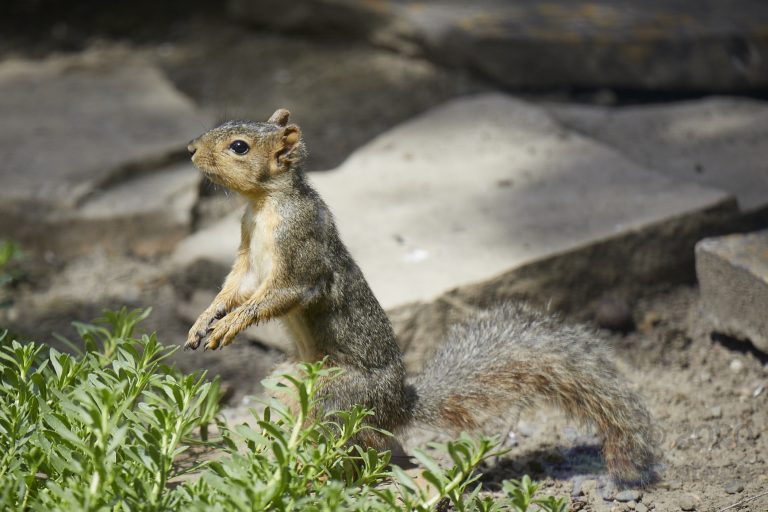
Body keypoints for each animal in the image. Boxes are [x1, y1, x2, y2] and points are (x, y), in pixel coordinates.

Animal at [184, 109, 659, 485]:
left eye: (239, 147)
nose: (190, 148)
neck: (263, 204)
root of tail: (399, 405)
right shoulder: (247, 261)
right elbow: (234, 289)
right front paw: (205, 319)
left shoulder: (300, 255)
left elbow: (276, 295)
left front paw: (231, 324)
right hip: (287, 383)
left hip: (339, 396)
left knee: (362, 442)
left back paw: (324, 471)